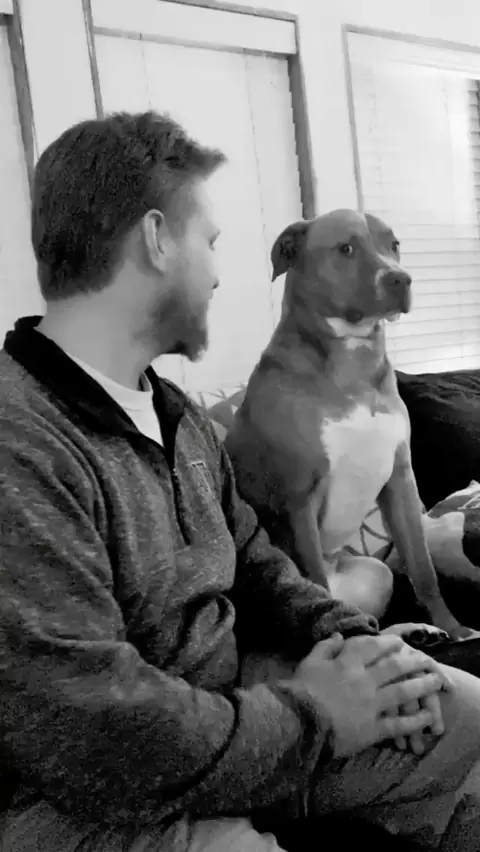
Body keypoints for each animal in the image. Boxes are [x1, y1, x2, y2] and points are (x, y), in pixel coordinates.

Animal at [225, 209, 471, 640]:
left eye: (394, 245)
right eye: (346, 248)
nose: (400, 278)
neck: (352, 358)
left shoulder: (400, 481)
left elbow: (423, 569)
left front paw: (454, 628)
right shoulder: (300, 498)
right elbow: (318, 587)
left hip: (377, 574)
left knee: (370, 620)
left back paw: (417, 632)